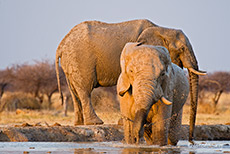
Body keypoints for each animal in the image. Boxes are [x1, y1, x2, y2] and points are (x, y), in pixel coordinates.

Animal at [55, 19, 205, 142]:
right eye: (182, 49)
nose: (191, 140)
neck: (161, 29)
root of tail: (61, 44)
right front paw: (123, 123)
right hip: (80, 61)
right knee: (85, 89)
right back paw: (95, 123)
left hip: (69, 62)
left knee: (75, 92)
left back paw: (79, 123)